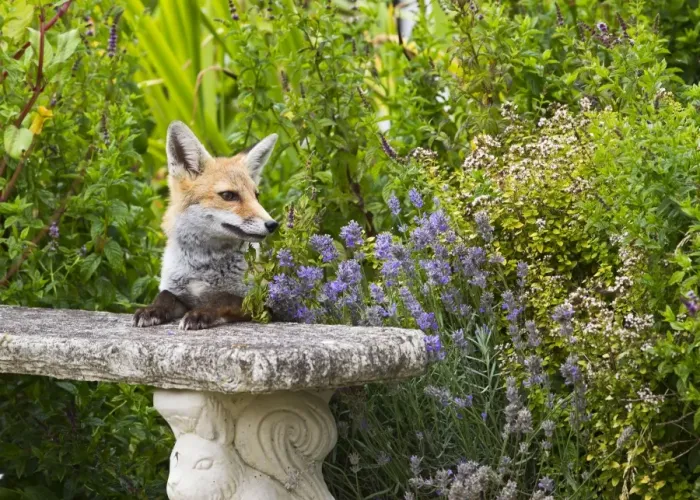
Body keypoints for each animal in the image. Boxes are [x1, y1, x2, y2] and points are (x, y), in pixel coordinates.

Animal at [133, 121, 279, 330]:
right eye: (228, 195)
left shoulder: (261, 304)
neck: (202, 267)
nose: (273, 224)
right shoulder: (178, 291)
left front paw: (199, 314)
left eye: (256, 196)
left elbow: (224, 299)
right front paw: (151, 310)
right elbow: (164, 295)